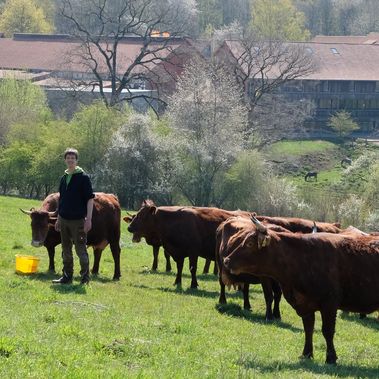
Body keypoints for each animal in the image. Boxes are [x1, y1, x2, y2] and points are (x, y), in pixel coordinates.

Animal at [224, 218, 379, 366]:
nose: (226, 260)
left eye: (249, 243)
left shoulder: (329, 304)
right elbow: (308, 329)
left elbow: (327, 331)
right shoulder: (305, 305)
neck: (302, 259)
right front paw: (306, 354)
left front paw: (330, 358)